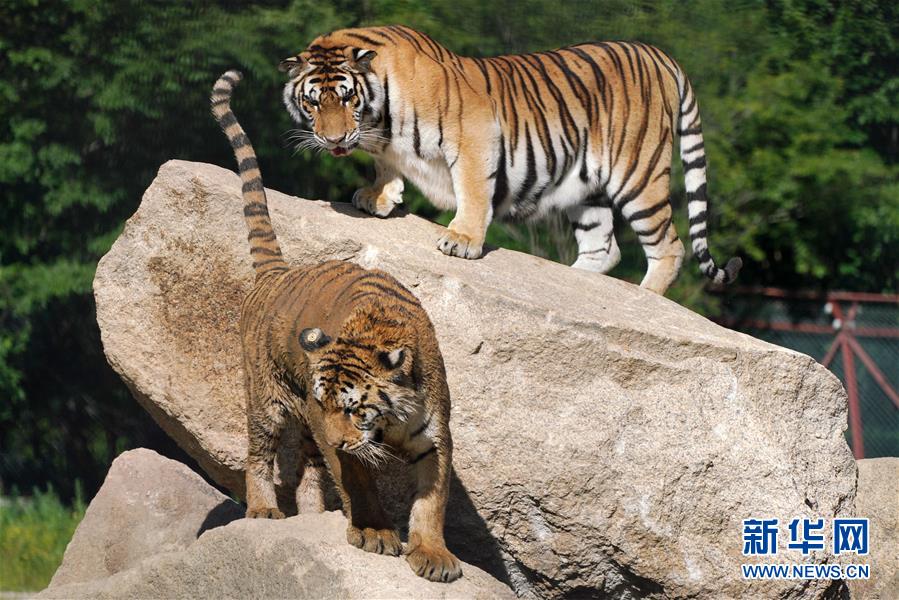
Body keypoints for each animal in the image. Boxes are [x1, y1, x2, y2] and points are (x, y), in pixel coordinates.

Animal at [211, 69, 462, 582]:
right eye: (327, 402)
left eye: (354, 408)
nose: (334, 434)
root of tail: (278, 272)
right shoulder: (331, 434)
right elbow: (358, 482)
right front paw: (374, 533)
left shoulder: (435, 438)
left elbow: (432, 502)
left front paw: (433, 555)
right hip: (267, 402)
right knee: (259, 454)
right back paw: (264, 511)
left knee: (306, 469)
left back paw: (311, 514)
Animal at [279, 24, 742, 295]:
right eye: (313, 101)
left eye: (347, 97)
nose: (334, 139)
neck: (379, 115)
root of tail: (659, 54)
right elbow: (386, 165)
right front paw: (378, 196)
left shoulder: (475, 134)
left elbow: (472, 191)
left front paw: (461, 240)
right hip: (585, 188)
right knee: (603, 248)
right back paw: (578, 282)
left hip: (637, 174)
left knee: (670, 246)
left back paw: (643, 295)